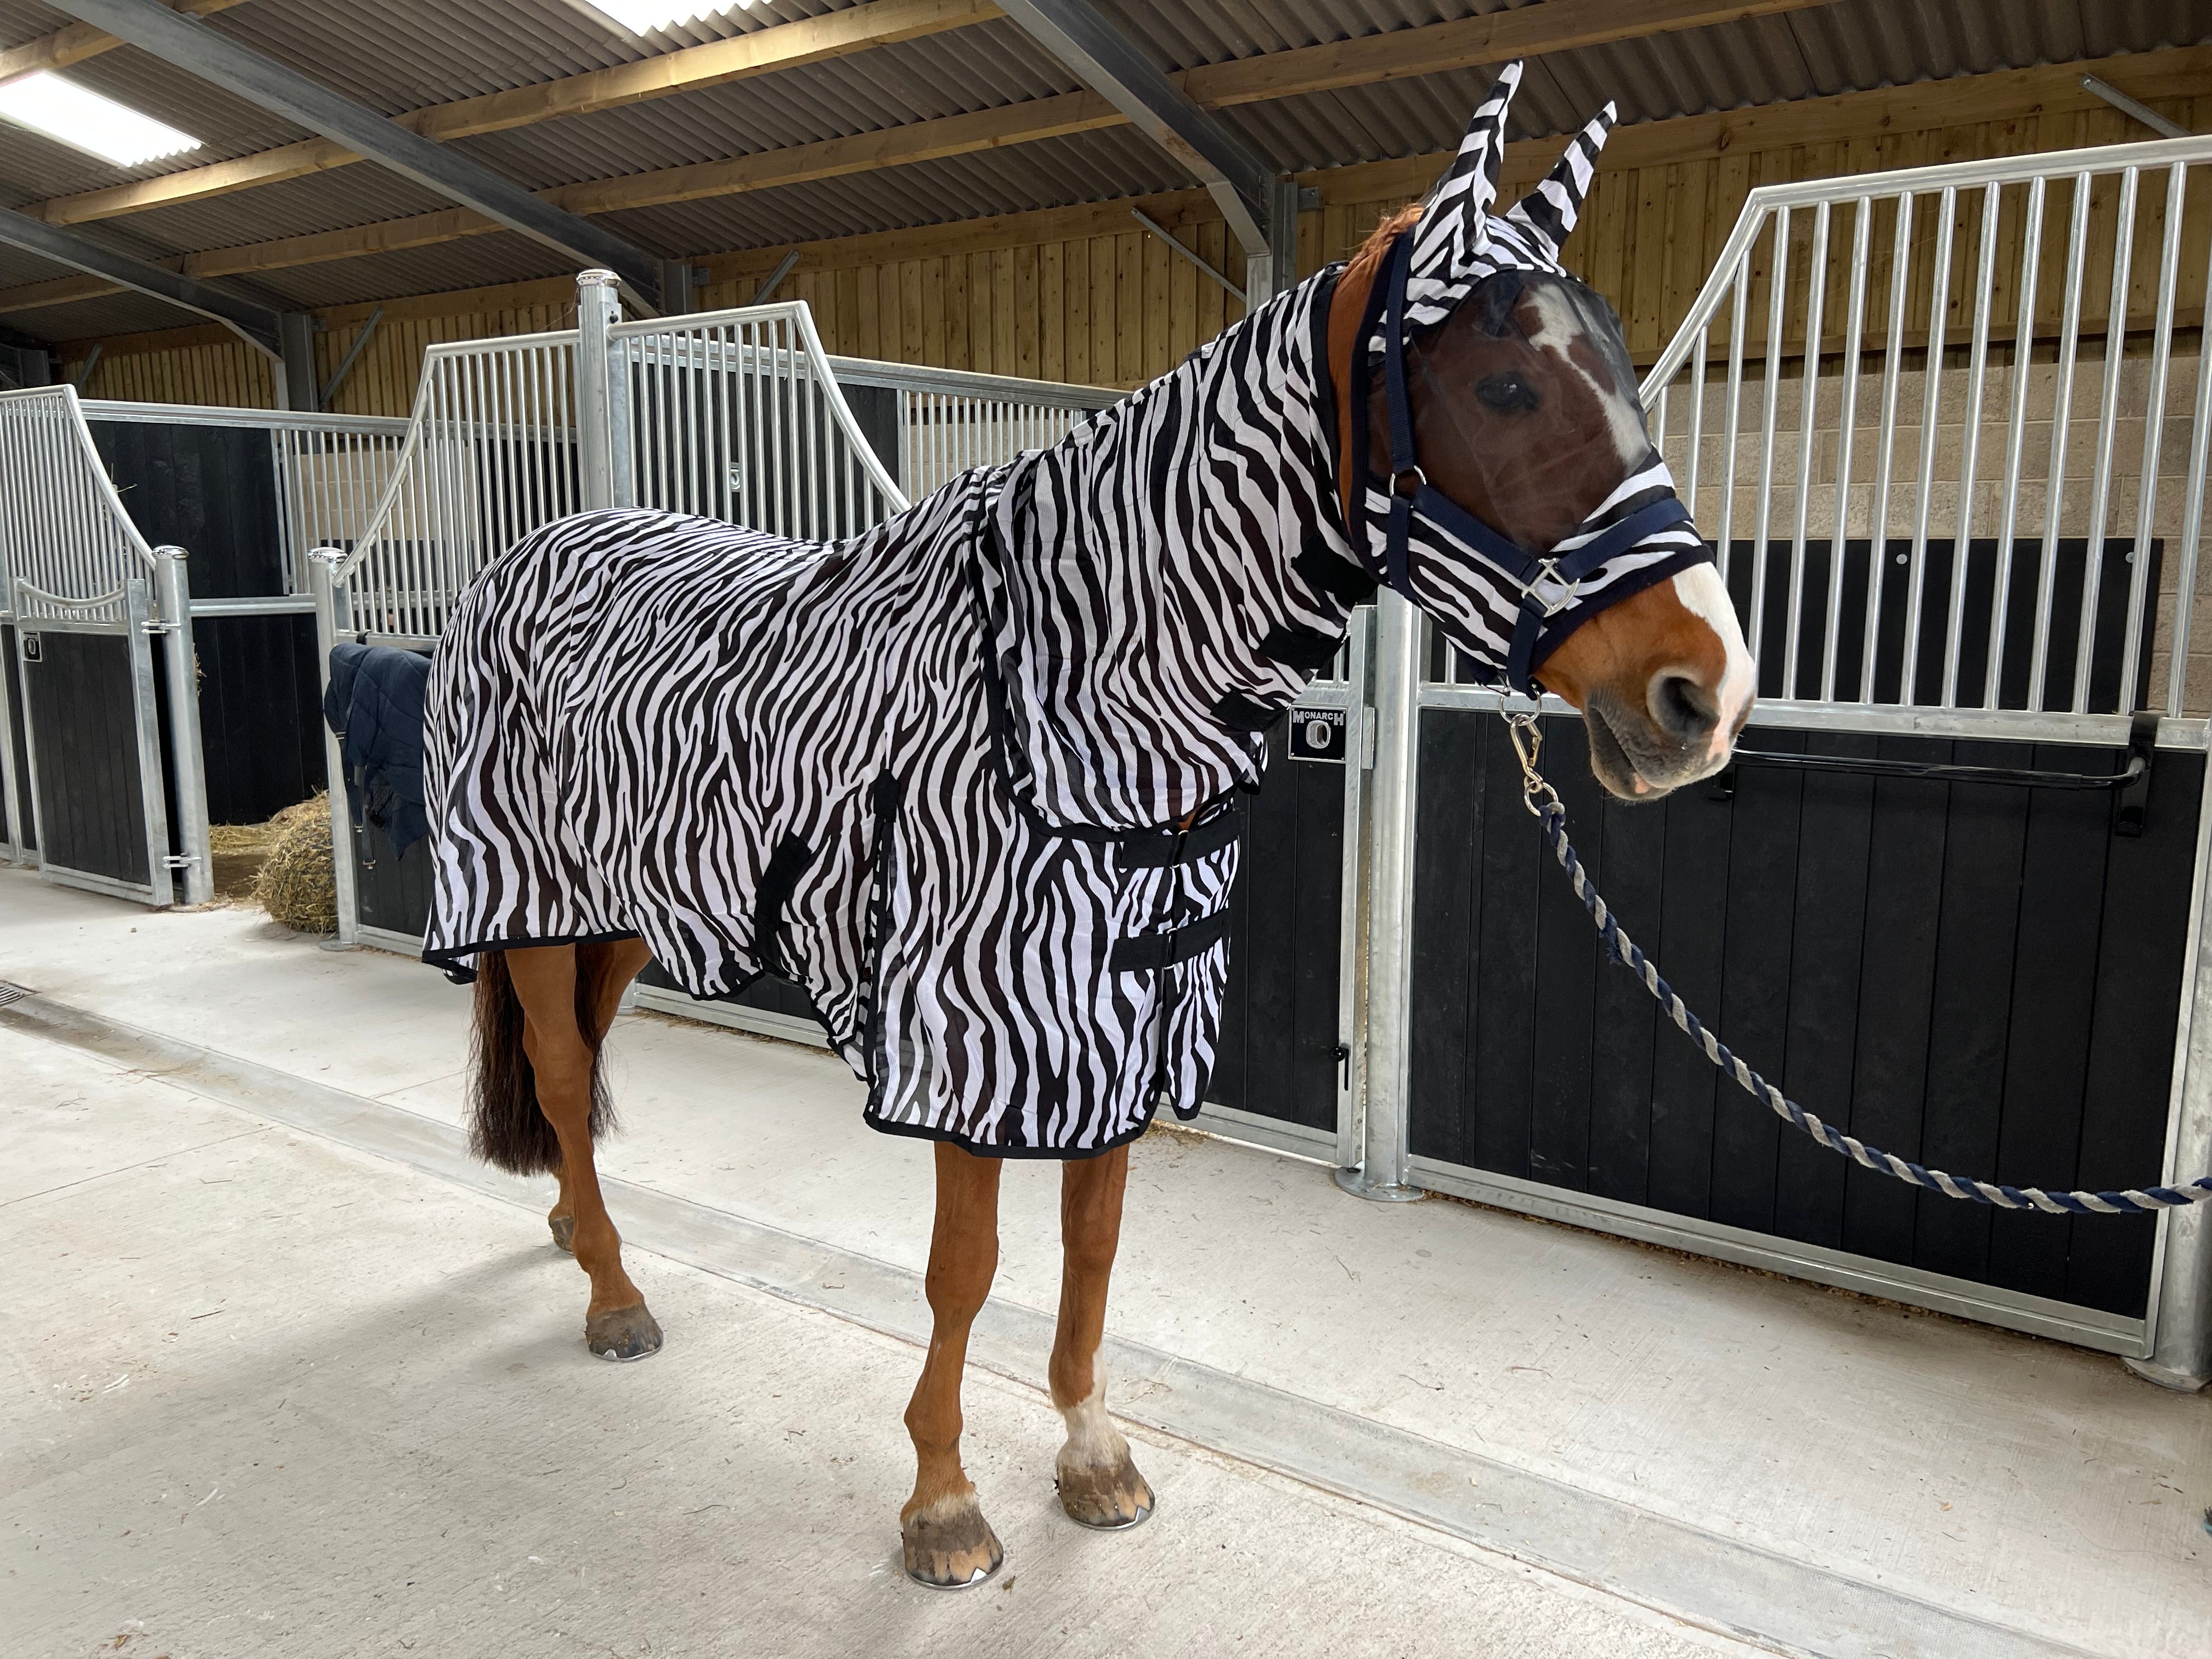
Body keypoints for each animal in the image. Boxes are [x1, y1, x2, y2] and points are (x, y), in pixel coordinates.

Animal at [422, 61, 1752, 1601]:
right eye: (1507, 384)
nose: (1707, 695)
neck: (1065, 699)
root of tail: (531, 550)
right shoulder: (971, 1034)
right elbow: (967, 1269)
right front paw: (943, 1503)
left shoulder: (1123, 1020)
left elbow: (1095, 1244)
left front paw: (1091, 1451)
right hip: (526, 898)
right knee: (566, 1076)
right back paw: (616, 1295)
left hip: (631, 907)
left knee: (582, 1068)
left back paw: (576, 1235)